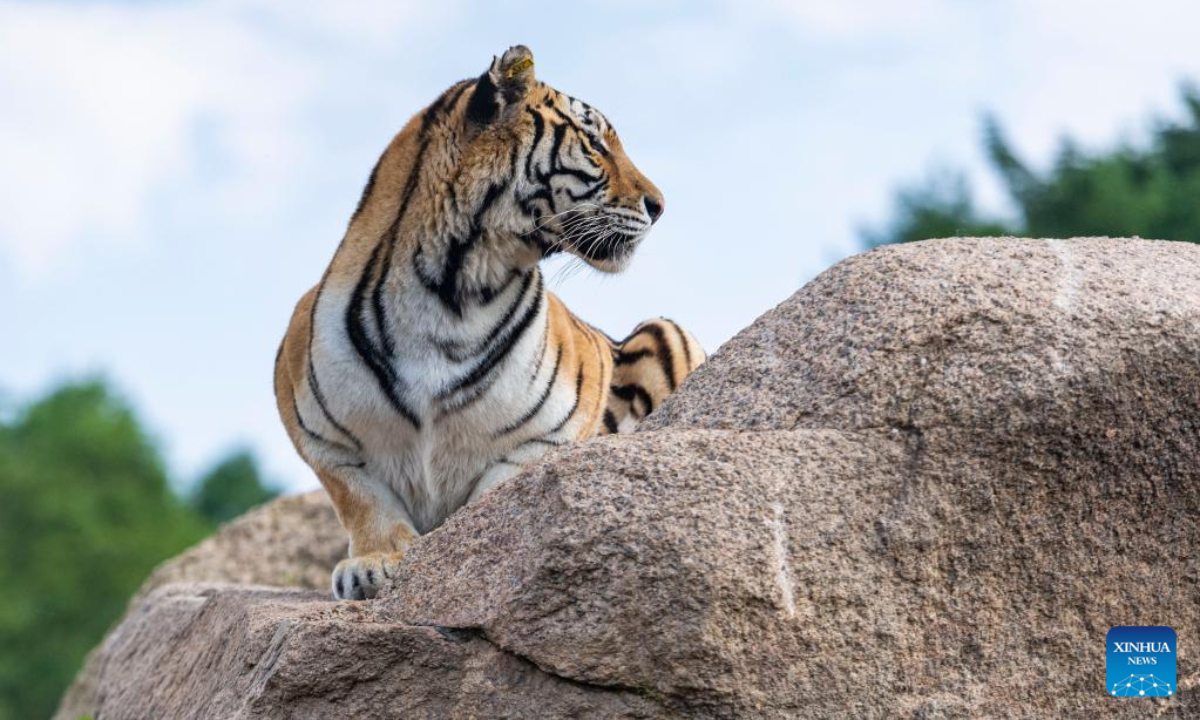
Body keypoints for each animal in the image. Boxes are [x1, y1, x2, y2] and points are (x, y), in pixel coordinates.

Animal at [272, 42, 700, 600]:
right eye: (594, 143)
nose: (660, 205)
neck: (450, 295)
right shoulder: (319, 434)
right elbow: (362, 498)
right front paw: (373, 563)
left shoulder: (548, 436)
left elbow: (491, 498)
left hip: (669, 330)